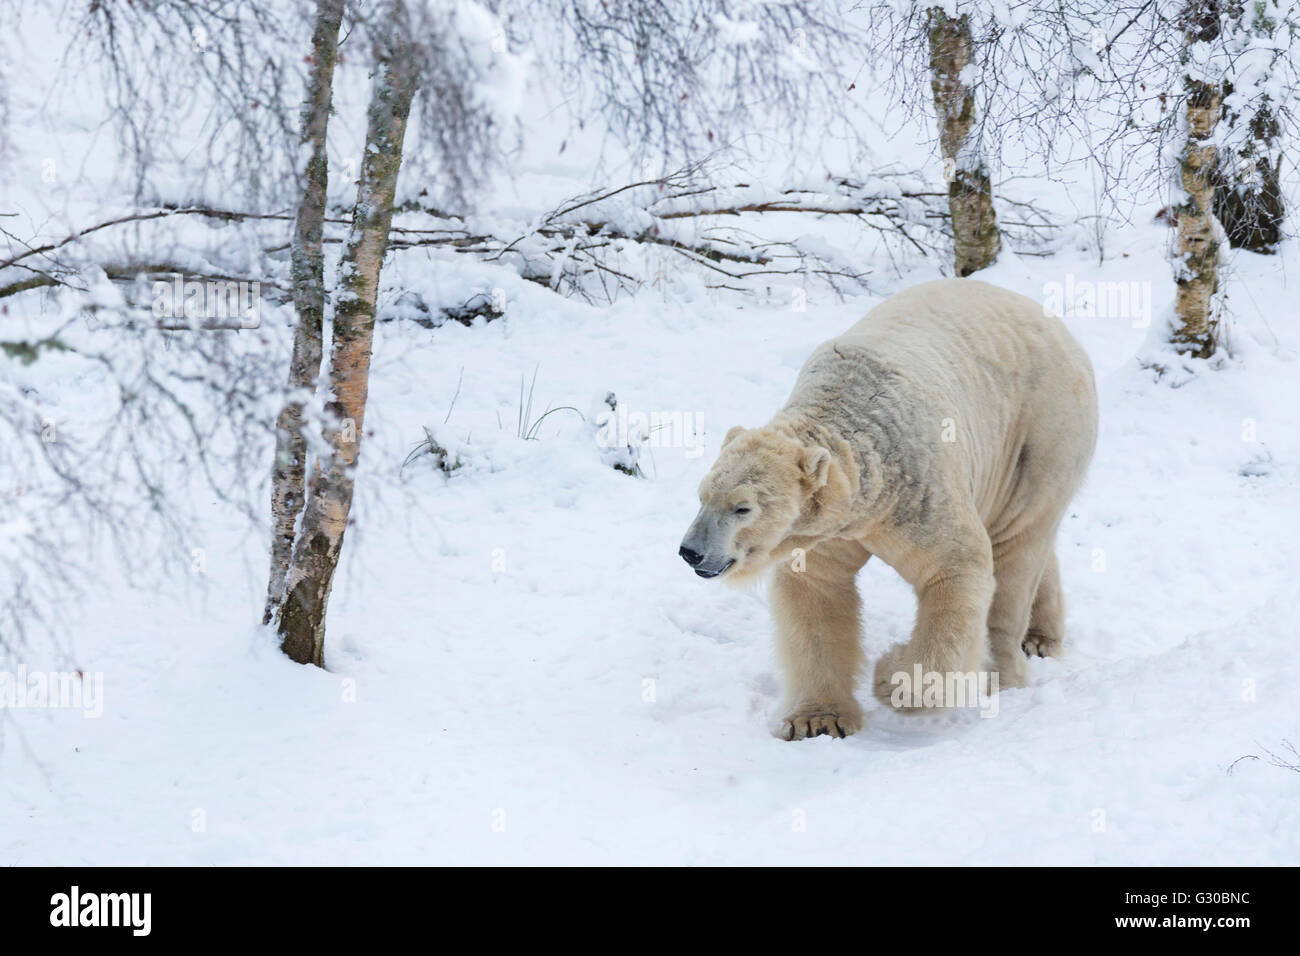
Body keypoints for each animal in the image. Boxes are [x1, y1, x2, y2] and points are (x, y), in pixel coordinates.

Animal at [681, 277, 1097, 738]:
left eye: (742, 508)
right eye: (702, 496)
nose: (691, 552)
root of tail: (1060, 329)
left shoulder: (917, 492)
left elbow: (957, 568)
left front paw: (892, 679)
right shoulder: (831, 527)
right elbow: (816, 594)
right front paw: (816, 720)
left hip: (1039, 436)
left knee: (1018, 549)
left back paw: (1001, 671)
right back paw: (1041, 636)